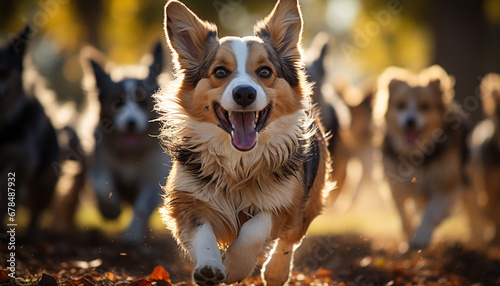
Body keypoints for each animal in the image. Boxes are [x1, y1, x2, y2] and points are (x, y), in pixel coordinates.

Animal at [82, 42, 172, 246]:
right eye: (117, 103)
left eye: (142, 101)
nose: (131, 123)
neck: (131, 154)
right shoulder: (101, 163)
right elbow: (103, 188)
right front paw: (112, 212)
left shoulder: (152, 176)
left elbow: (142, 207)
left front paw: (132, 235)